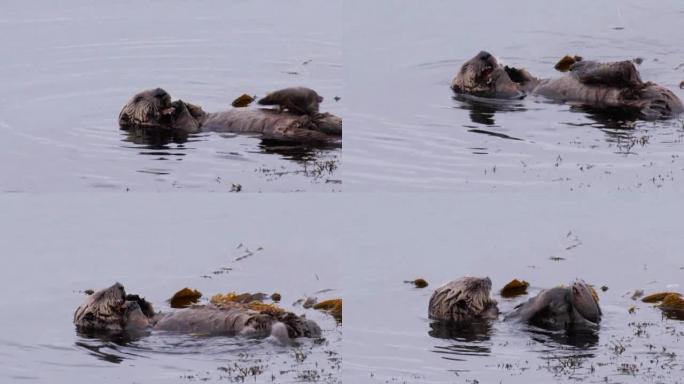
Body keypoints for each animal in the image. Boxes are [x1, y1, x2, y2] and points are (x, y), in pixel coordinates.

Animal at [119, 87, 342, 144]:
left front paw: (184, 103)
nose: (161, 91)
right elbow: (188, 124)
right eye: (138, 98)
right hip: (290, 132)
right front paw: (177, 106)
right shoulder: (180, 129)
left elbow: (200, 113)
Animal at [452, 51, 680, 119]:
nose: (485, 54)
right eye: (465, 66)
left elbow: (527, 77)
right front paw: (498, 74)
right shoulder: (502, 96)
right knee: (627, 70)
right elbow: (505, 89)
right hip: (622, 81)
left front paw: (510, 68)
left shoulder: (526, 82)